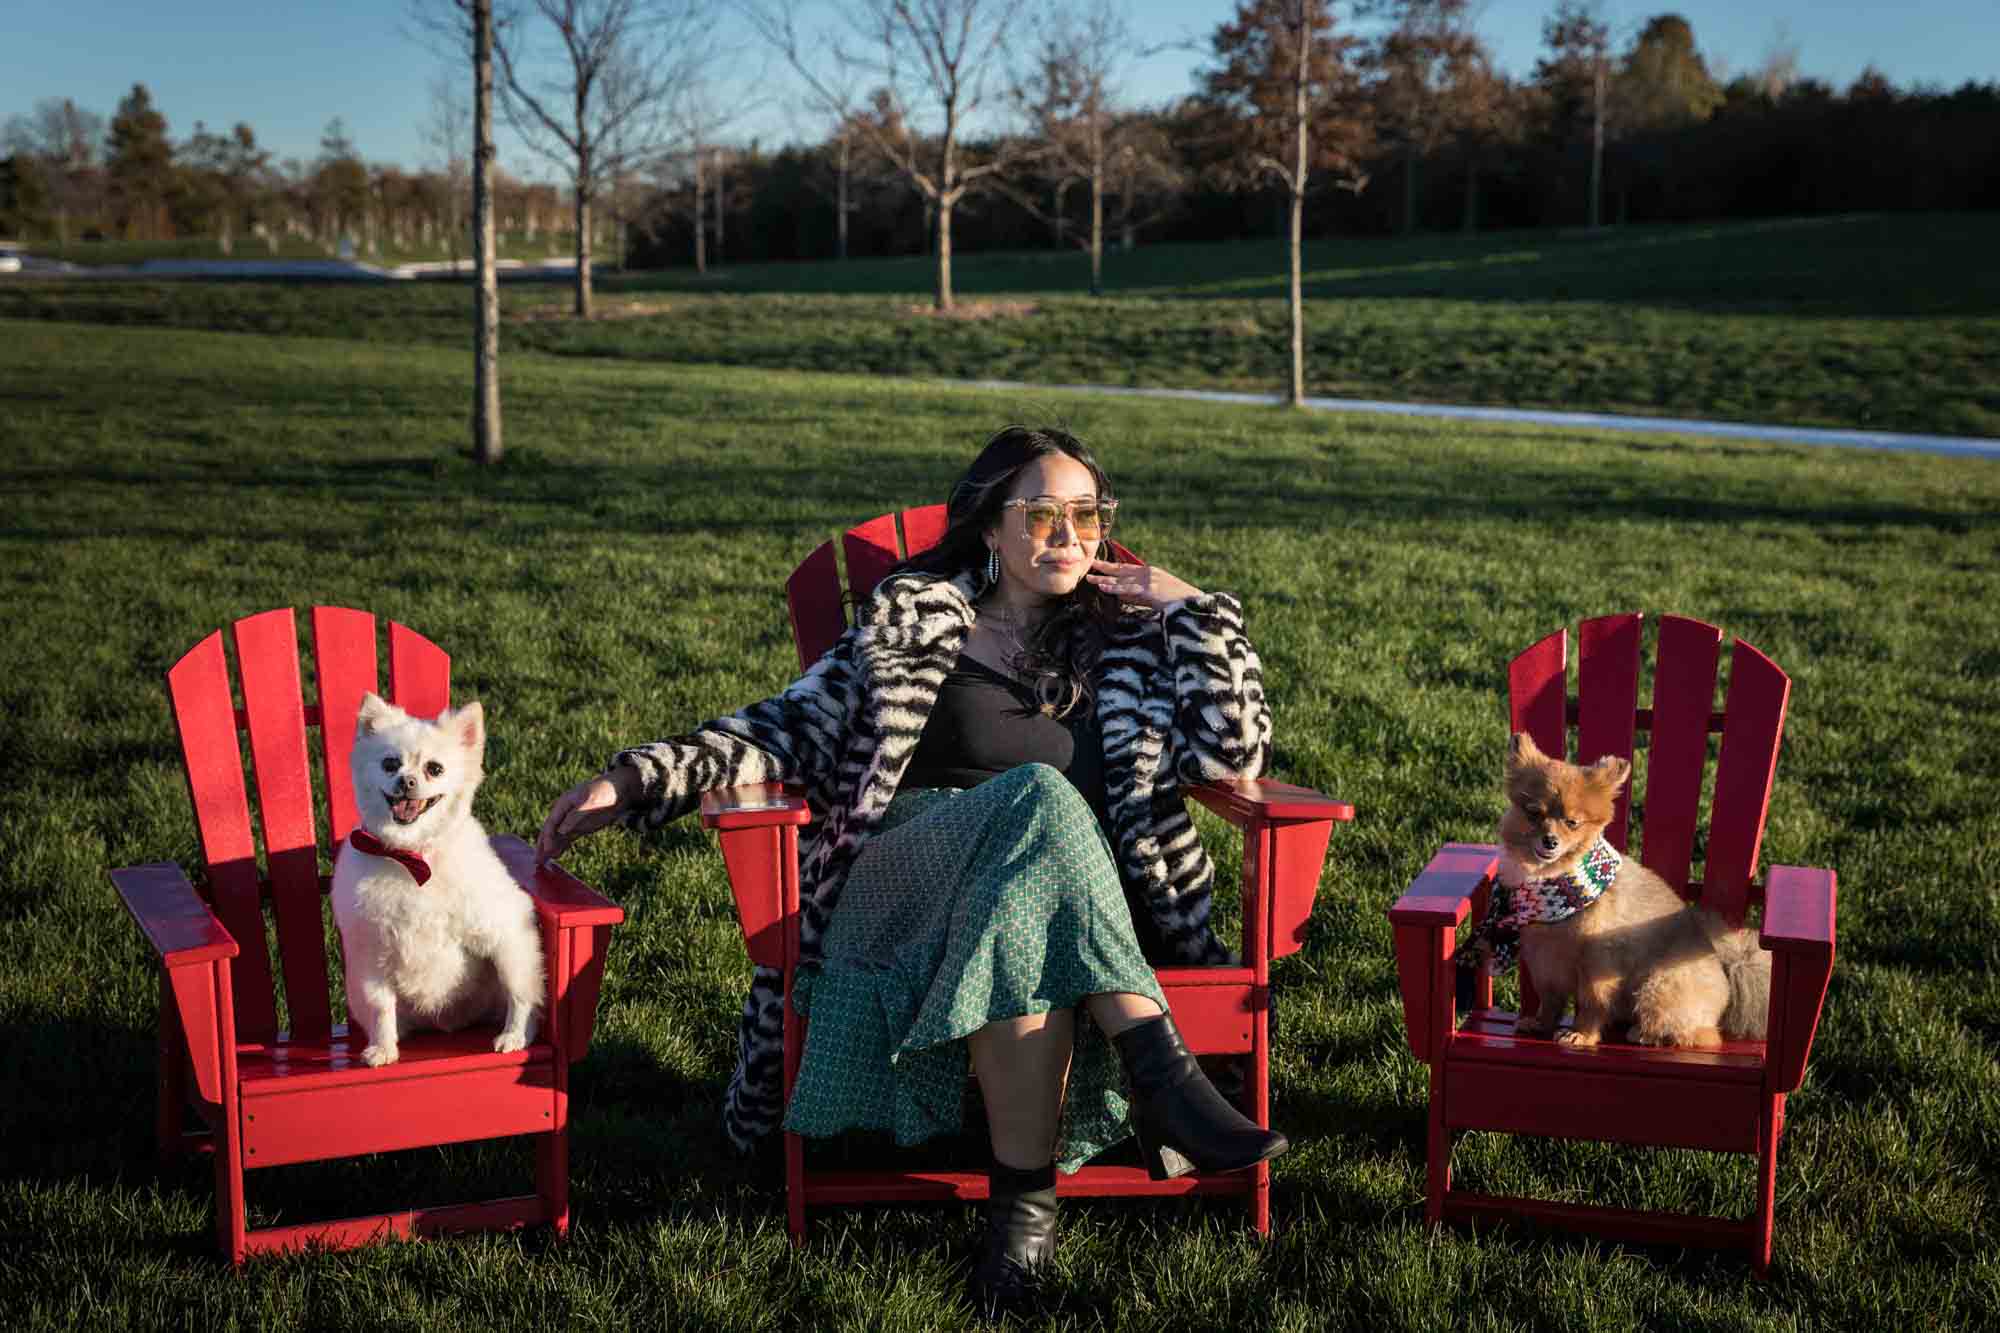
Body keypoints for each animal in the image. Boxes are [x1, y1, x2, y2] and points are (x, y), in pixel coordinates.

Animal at [332, 688, 544, 1064]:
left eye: (435, 769)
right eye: (389, 764)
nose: (406, 781)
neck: (412, 856)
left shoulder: (506, 930)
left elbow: (520, 994)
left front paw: (515, 1035)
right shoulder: (373, 954)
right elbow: (380, 1007)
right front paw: (383, 1048)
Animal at [1480, 732, 1776, 1040]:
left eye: (1572, 822)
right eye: (1534, 814)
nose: (1550, 841)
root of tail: (1726, 968)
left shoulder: (1598, 962)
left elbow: (1592, 1004)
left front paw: (1582, 1035)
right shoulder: (1545, 960)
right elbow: (1551, 1001)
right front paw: (1541, 1024)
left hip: (1657, 988)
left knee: (1697, 1035)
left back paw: (1644, 1034)